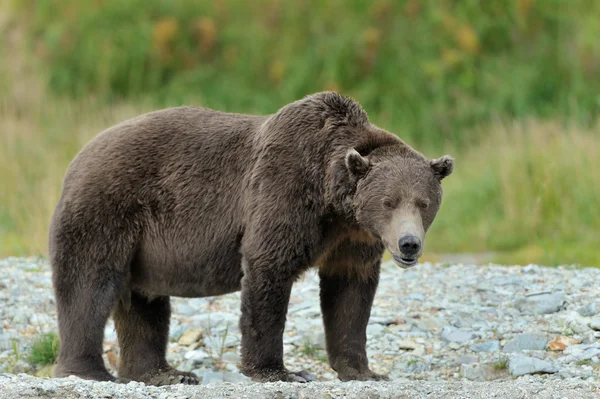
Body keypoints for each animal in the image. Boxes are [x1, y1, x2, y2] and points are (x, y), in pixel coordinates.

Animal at [49, 92, 452, 386]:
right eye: (389, 201)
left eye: (424, 203)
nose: (408, 244)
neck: (334, 202)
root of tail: (78, 158)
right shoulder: (284, 192)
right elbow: (268, 270)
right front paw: (282, 371)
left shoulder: (351, 239)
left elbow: (350, 295)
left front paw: (363, 371)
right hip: (109, 208)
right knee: (90, 284)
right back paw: (90, 371)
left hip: (143, 249)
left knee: (144, 303)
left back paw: (165, 373)